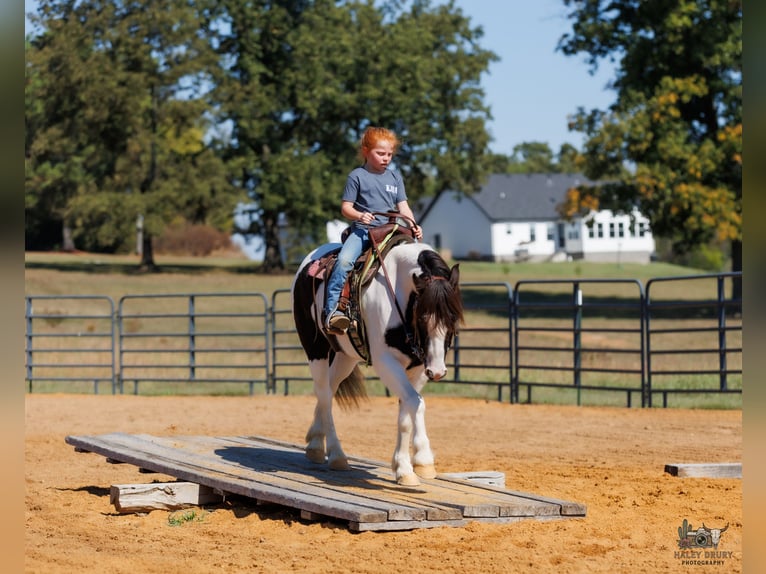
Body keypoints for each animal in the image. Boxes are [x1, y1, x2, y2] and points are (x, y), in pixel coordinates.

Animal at [291, 233, 463, 486]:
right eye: (423, 316)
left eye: (453, 317)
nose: (438, 371)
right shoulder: (386, 363)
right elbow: (416, 404)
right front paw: (422, 461)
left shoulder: (418, 367)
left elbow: (407, 412)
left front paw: (404, 468)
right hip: (315, 348)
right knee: (323, 393)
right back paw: (336, 454)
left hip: (345, 356)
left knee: (329, 391)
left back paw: (315, 444)